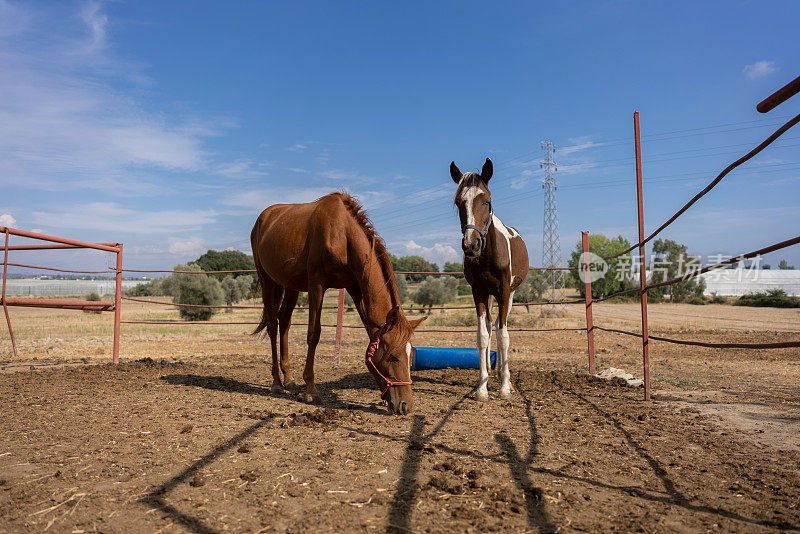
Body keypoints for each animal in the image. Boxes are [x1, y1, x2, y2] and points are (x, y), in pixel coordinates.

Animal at [250, 191, 424, 416]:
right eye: (393, 356)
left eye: (410, 357)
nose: (406, 405)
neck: (343, 235)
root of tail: (263, 218)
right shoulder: (317, 285)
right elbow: (313, 334)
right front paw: (311, 390)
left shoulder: (354, 286)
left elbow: (369, 329)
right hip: (267, 280)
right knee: (273, 325)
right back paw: (277, 383)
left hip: (290, 286)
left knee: (284, 322)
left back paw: (289, 379)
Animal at [454, 157, 528, 400]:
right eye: (458, 203)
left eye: (486, 201)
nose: (471, 245)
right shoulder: (478, 291)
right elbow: (482, 335)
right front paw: (482, 386)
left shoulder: (504, 291)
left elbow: (503, 336)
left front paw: (505, 387)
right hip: (489, 295)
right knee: (489, 326)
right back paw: (489, 371)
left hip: (510, 295)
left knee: (499, 327)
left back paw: (504, 377)